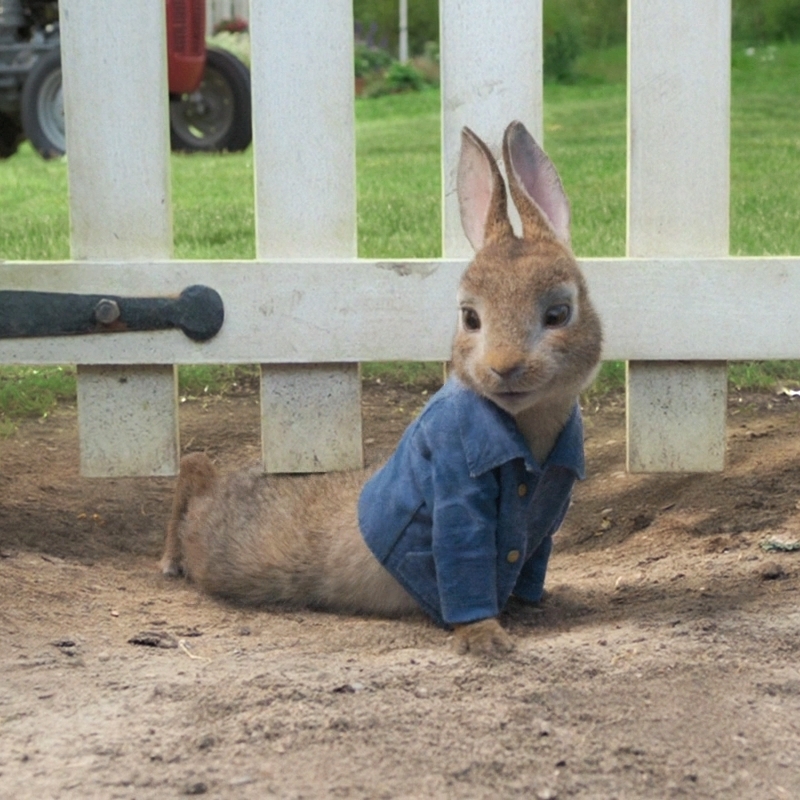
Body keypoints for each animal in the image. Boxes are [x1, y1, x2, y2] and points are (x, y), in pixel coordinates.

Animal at [160, 120, 603, 656]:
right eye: (470, 317)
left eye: (558, 314)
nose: (504, 368)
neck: (523, 430)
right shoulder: (456, 494)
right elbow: (464, 560)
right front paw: (485, 639)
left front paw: (537, 604)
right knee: (192, 476)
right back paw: (169, 561)